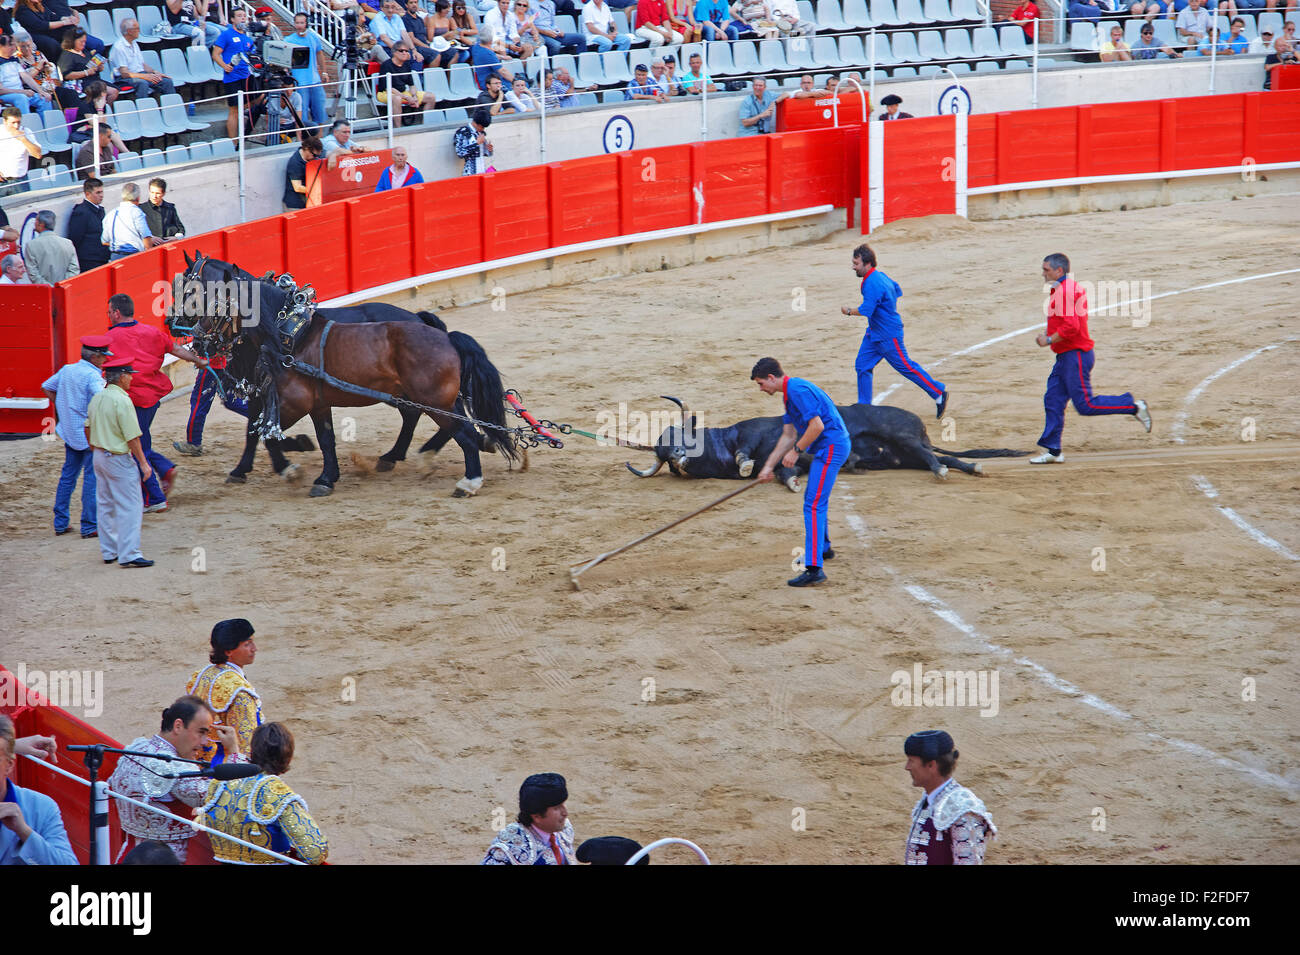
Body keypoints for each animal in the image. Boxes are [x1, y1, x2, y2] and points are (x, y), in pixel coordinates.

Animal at [174, 250, 517, 496]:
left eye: (196, 292)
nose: (186, 333)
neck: (288, 335)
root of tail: (443, 334)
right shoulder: (311, 402)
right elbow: (317, 438)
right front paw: (323, 476)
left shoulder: (292, 401)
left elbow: (265, 433)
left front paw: (292, 461)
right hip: (425, 397)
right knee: (440, 422)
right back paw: (409, 456)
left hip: (429, 399)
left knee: (459, 431)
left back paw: (467, 479)